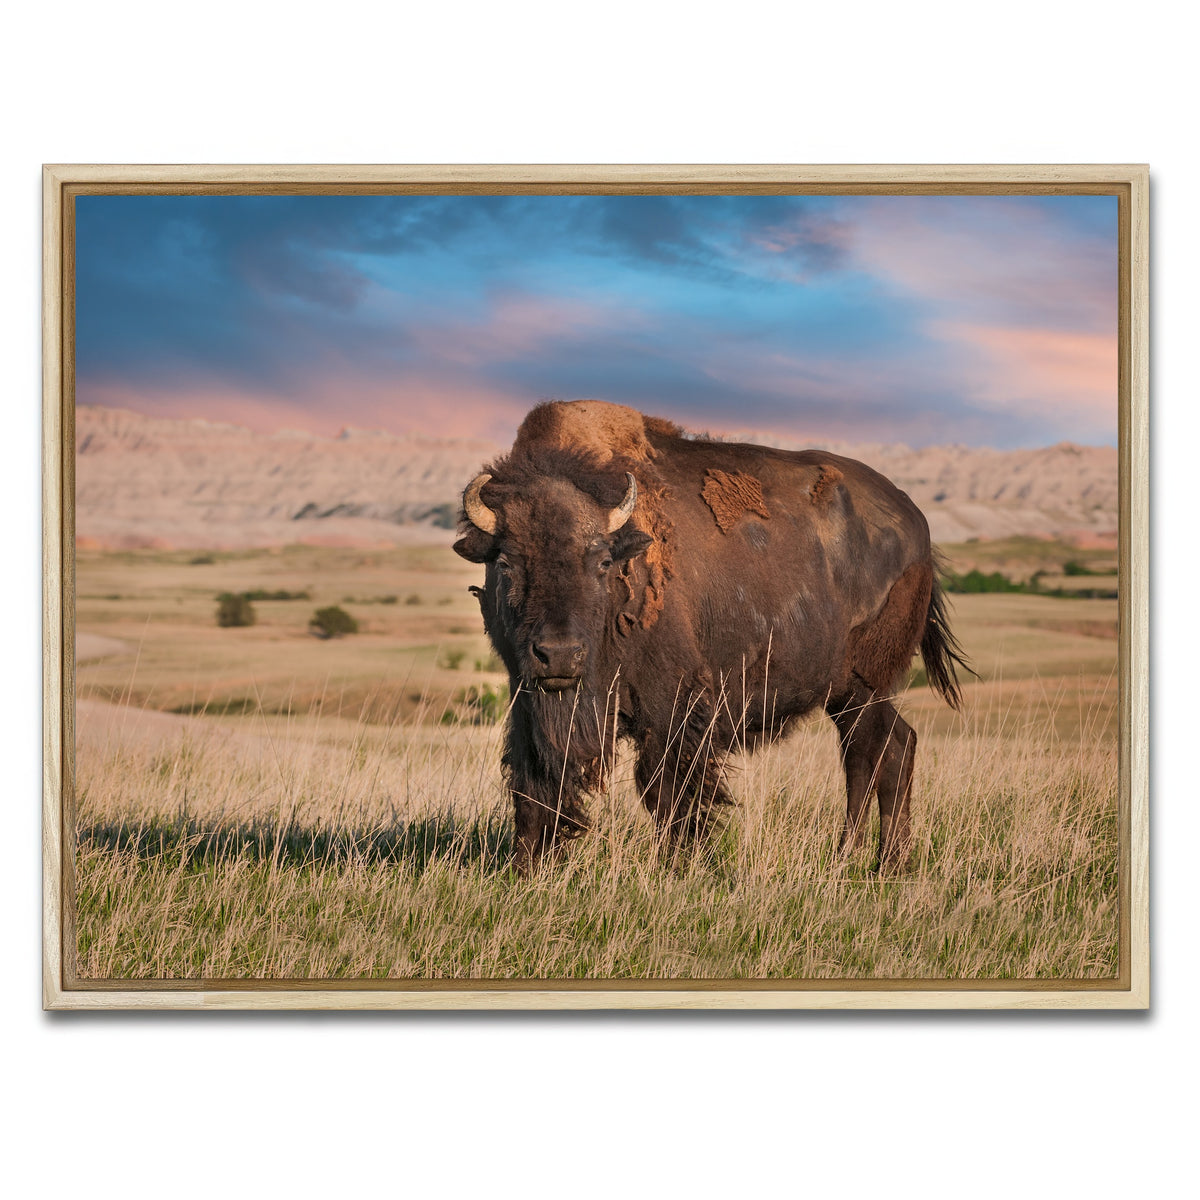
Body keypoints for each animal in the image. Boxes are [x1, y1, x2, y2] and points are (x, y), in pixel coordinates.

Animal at [453, 400, 970, 874]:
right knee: (888, 749)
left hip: (864, 688)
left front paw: (681, 865)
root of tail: (918, 528)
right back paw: (872, 861)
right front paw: (528, 867)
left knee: (873, 754)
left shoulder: (672, 705)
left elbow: (668, 788)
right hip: (850, 695)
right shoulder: (527, 699)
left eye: (601, 562)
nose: (558, 655)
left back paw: (873, 861)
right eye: (506, 563)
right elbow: (533, 781)